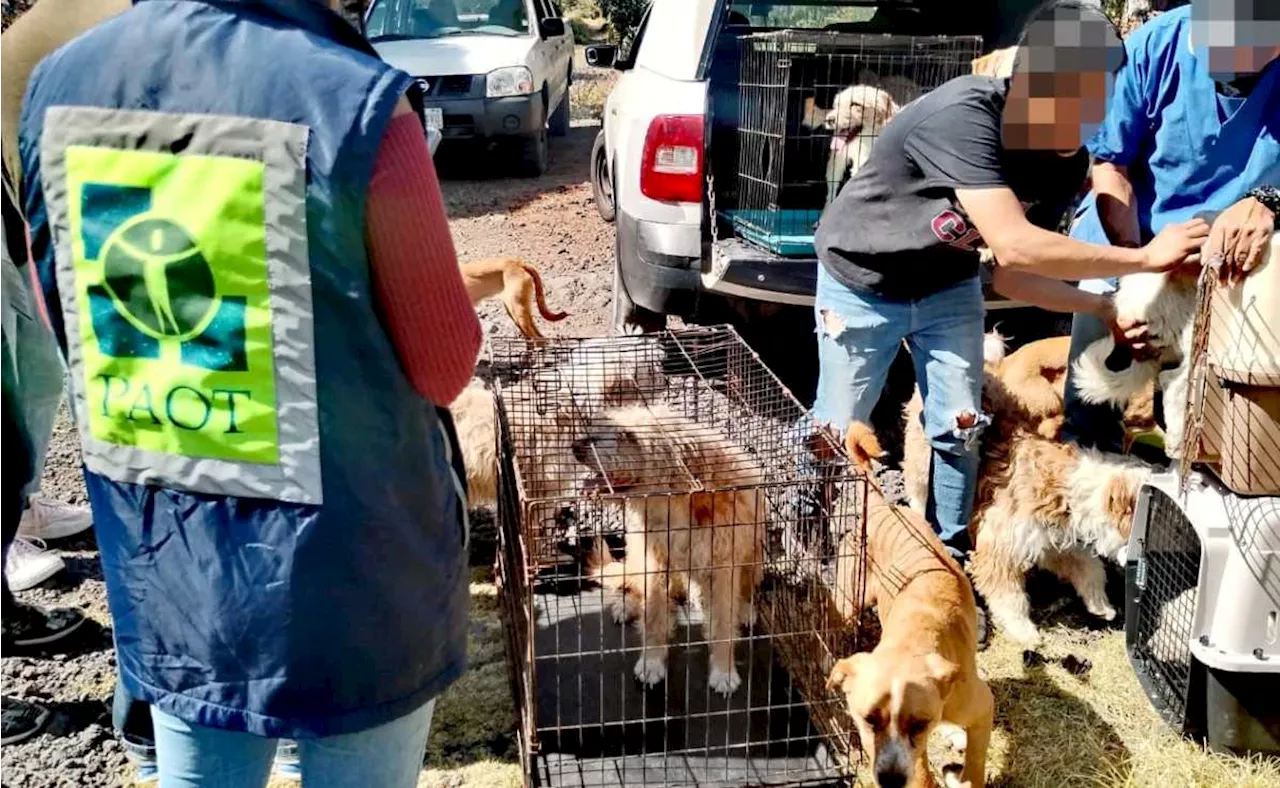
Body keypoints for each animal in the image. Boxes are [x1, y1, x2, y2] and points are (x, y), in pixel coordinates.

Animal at [573, 406, 768, 695]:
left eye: (628, 436)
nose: (575, 446)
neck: (680, 502)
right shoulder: (654, 561)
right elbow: (653, 614)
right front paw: (652, 661)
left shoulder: (724, 568)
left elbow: (723, 623)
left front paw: (723, 669)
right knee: (637, 587)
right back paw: (628, 604)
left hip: (755, 558)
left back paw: (744, 609)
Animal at [824, 422, 993, 788]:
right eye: (869, 719)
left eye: (919, 723)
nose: (889, 778)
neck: (913, 638)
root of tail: (883, 506)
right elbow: (923, 775)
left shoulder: (980, 709)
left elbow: (974, 764)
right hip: (847, 600)